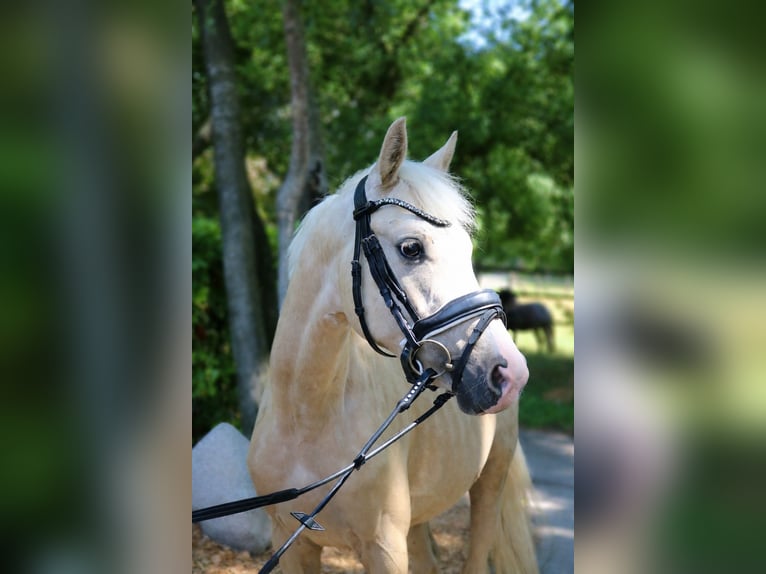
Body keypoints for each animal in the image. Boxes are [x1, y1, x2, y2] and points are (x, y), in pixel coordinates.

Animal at [248, 118, 538, 574]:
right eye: (411, 248)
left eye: (468, 251)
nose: (510, 372)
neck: (307, 415)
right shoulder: (291, 544)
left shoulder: (383, 548)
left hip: (489, 486)